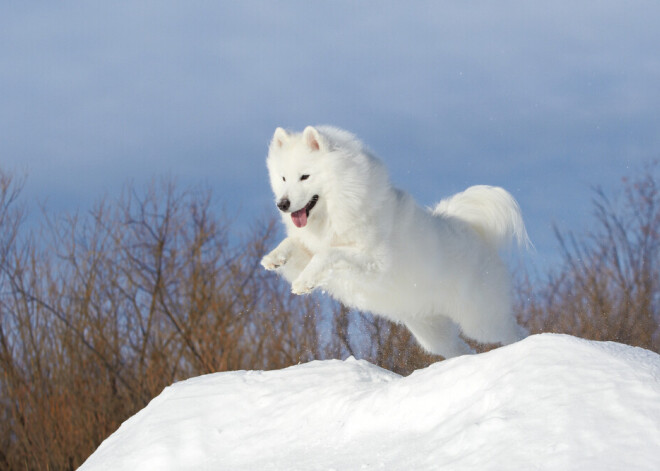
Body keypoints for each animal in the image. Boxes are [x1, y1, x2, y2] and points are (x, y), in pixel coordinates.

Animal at [260, 125, 528, 358]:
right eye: (283, 178)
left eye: (304, 177)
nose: (282, 204)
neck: (338, 209)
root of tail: (478, 234)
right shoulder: (314, 249)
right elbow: (296, 245)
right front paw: (273, 259)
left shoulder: (374, 262)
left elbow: (329, 254)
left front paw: (303, 281)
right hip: (432, 333)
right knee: (462, 349)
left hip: (480, 320)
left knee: (514, 330)